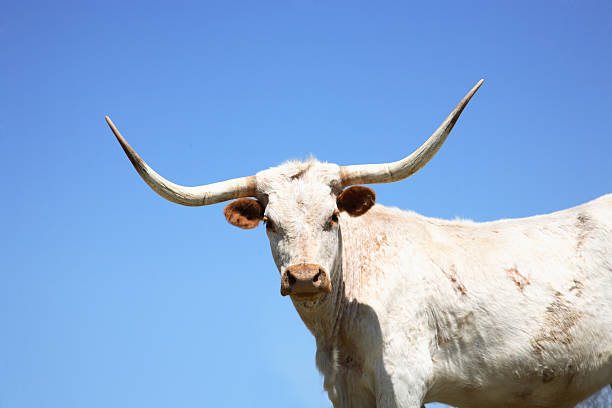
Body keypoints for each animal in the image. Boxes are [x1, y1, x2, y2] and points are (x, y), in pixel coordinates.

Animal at [107, 80, 608, 408]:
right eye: (269, 222)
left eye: (333, 217)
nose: (304, 277)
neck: (338, 325)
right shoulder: (345, 390)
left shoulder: (402, 381)